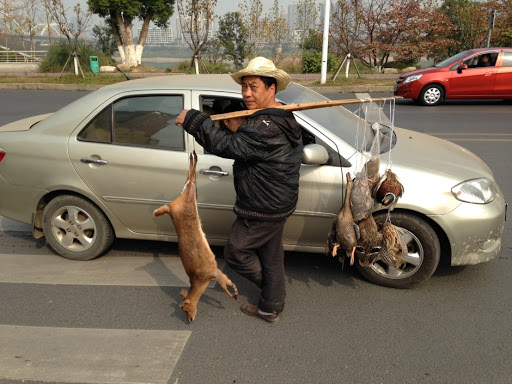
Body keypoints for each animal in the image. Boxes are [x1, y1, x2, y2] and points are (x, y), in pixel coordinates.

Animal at [153, 150, 239, 320]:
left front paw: (234, 294)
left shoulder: (214, 273)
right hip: (187, 197)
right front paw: (235, 293)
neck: (199, 281)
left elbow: (226, 285)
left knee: (190, 180)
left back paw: (194, 155)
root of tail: (170, 208)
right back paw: (193, 155)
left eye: (185, 308)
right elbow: (228, 281)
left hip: (185, 199)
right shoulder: (217, 273)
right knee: (190, 180)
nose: (190, 319)